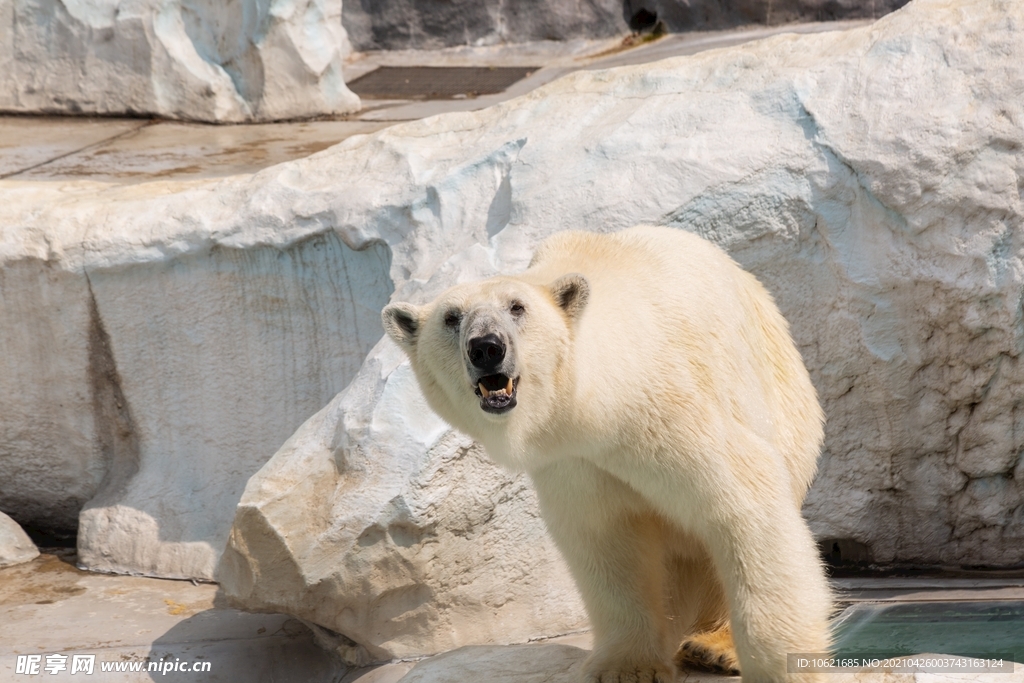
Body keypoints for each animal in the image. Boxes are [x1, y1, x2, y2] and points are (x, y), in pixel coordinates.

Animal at [385, 227, 831, 679]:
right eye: (451, 317)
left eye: (517, 307)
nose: (486, 347)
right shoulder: (573, 461)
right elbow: (606, 535)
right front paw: (626, 666)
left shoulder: (665, 411)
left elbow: (744, 501)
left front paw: (781, 666)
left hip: (783, 400)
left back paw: (713, 646)